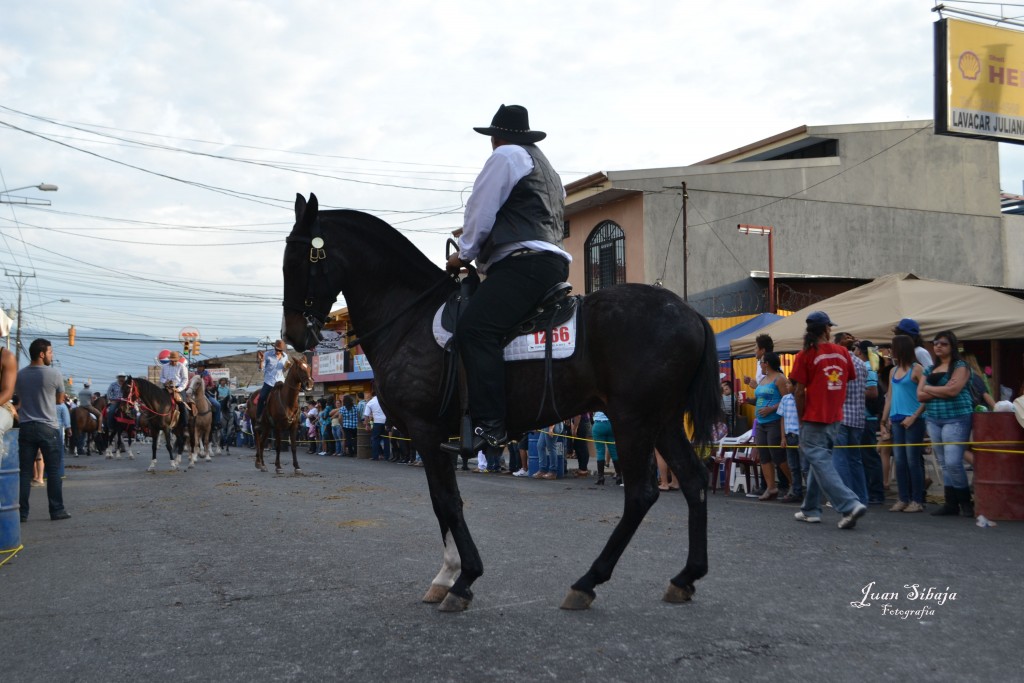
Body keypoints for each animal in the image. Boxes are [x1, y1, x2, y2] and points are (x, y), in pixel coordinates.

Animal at [276, 193, 716, 614]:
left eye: (297, 261)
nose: (294, 335)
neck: (409, 317)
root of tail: (689, 312)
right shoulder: (436, 438)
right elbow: (441, 503)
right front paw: (446, 575)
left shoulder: (425, 430)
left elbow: (447, 502)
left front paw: (464, 578)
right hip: (663, 421)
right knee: (694, 479)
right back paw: (685, 576)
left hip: (632, 420)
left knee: (641, 493)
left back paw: (587, 582)